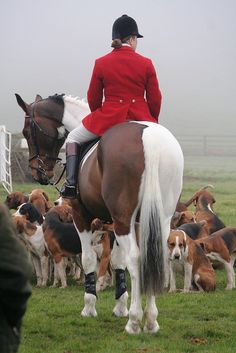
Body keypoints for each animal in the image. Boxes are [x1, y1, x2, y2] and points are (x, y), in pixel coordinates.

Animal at [15, 93, 183, 332]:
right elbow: (118, 261)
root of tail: (150, 139)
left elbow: (89, 261)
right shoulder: (115, 224)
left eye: (28, 132)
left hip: (124, 219)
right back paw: (151, 320)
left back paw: (134, 321)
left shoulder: (82, 217)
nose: (37, 173)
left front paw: (90, 307)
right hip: (159, 219)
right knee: (152, 257)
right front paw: (120, 307)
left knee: (135, 259)